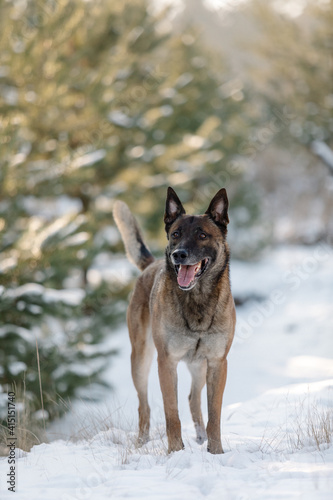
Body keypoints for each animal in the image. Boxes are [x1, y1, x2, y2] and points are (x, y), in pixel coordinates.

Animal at [113, 187, 235, 454]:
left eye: (202, 235)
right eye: (175, 234)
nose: (179, 254)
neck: (197, 300)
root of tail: (151, 266)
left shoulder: (217, 363)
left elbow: (214, 414)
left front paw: (216, 451)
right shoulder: (166, 362)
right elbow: (172, 414)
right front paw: (175, 452)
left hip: (199, 365)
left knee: (193, 398)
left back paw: (201, 436)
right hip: (141, 359)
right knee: (144, 406)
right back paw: (142, 442)